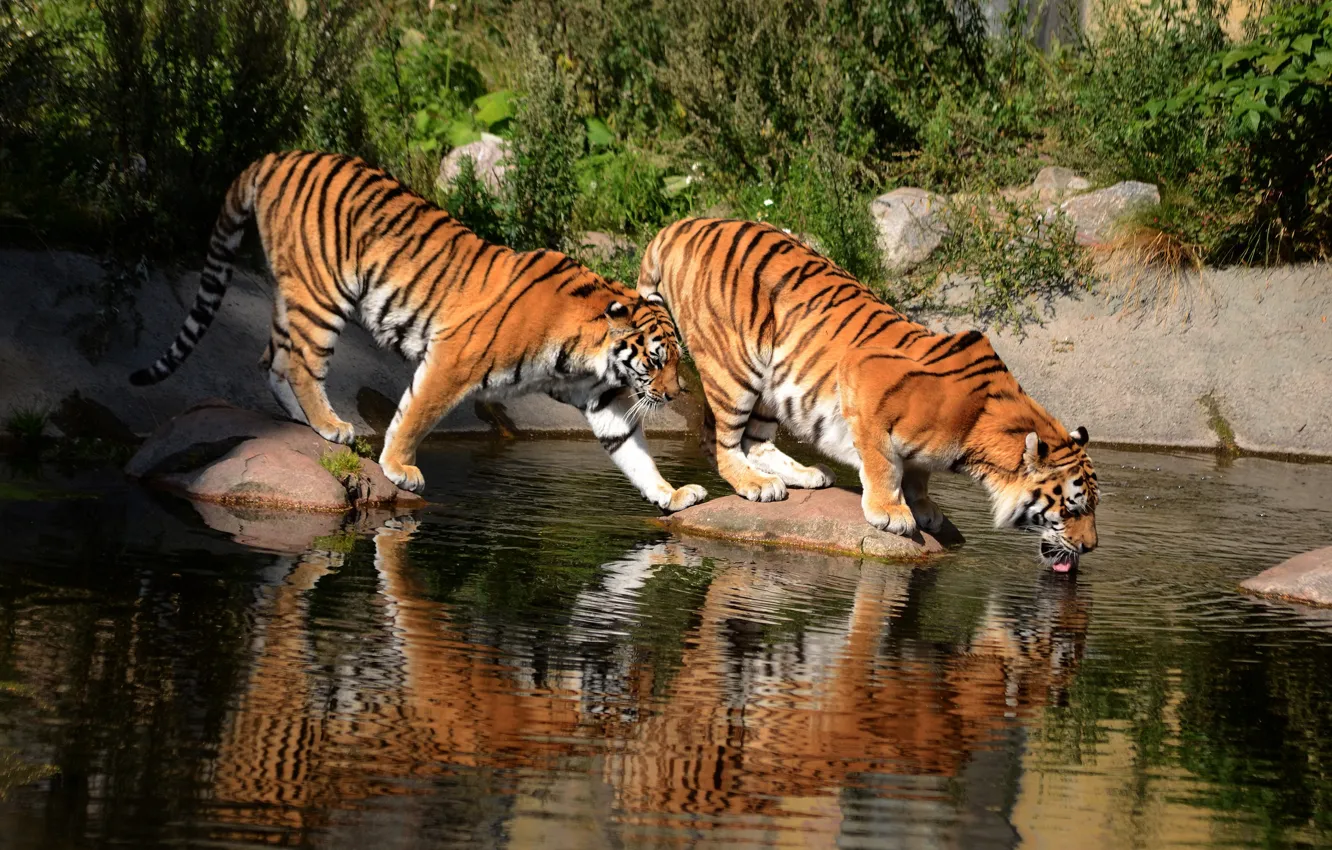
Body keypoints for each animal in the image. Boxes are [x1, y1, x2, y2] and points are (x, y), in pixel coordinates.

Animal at [129, 151, 706, 512]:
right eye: (658, 359)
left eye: (677, 360)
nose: (676, 393)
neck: (590, 353)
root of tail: (278, 158)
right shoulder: (454, 359)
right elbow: (416, 413)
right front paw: (400, 468)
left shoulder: (601, 401)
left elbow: (633, 453)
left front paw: (671, 495)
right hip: (322, 294)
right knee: (300, 362)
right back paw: (332, 426)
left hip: (293, 293)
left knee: (272, 358)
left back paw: (305, 423)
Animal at [638, 218, 1098, 571]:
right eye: (1071, 508)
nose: (1091, 547)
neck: (977, 436)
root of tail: (681, 225)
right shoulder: (863, 375)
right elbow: (883, 463)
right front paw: (892, 513)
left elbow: (917, 471)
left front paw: (925, 508)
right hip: (735, 365)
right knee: (719, 438)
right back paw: (756, 484)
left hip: (769, 380)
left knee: (756, 439)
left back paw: (803, 475)